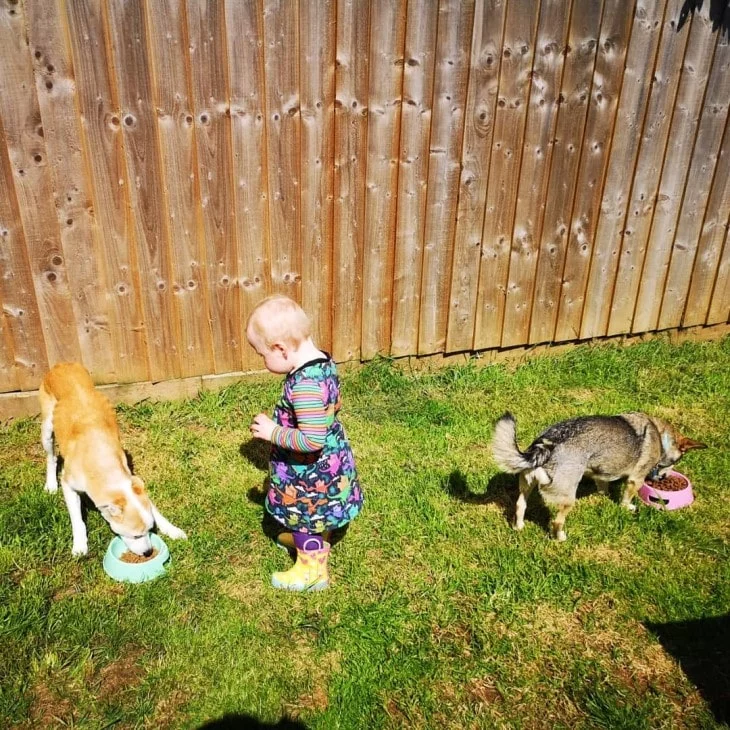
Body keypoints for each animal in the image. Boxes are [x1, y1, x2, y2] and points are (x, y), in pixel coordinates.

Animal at [38, 362, 188, 556]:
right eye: (135, 536)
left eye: (149, 530)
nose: (148, 552)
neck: (103, 463)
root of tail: (63, 364)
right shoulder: (68, 484)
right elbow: (77, 520)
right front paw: (79, 546)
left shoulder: (132, 484)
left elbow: (153, 508)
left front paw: (172, 530)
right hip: (47, 430)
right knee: (51, 457)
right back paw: (50, 485)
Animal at [492, 412, 704, 536]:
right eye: (676, 462)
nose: (663, 478)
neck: (660, 436)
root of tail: (545, 444)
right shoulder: (635, 479)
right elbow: (627, 498)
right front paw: (627, 507)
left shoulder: (602, 475)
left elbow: (603, 486)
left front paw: (604, 496)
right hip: (568, 499)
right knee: (557, 521)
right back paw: (560, 538)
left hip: (526, 484)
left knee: (520, 505)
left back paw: (519, 527)